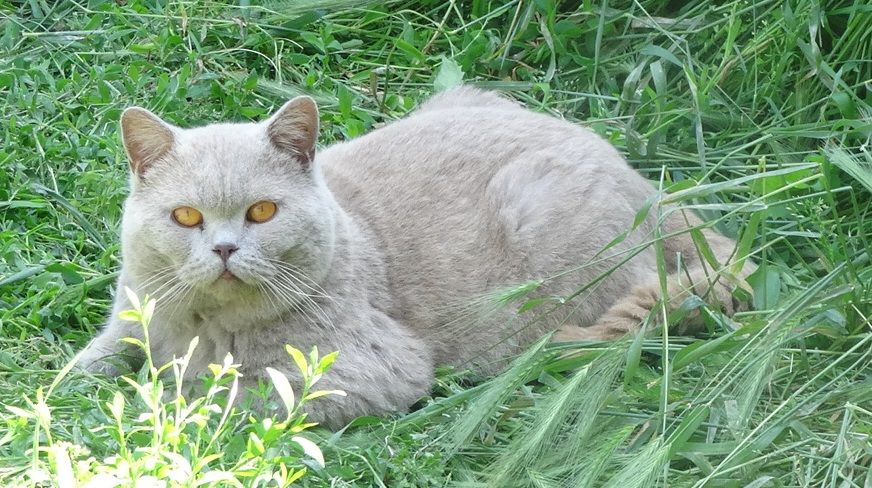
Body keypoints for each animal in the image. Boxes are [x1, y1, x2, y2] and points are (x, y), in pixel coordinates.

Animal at [78, 86, 752, 428]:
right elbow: (96, 359)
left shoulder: (368, 370)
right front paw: (66, 393)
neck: (205, 326)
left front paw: (151, 403)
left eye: (262, 212)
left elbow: (221, 394)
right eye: (186, 217)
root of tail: (654, 192)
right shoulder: (134, 315)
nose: (223, 248)